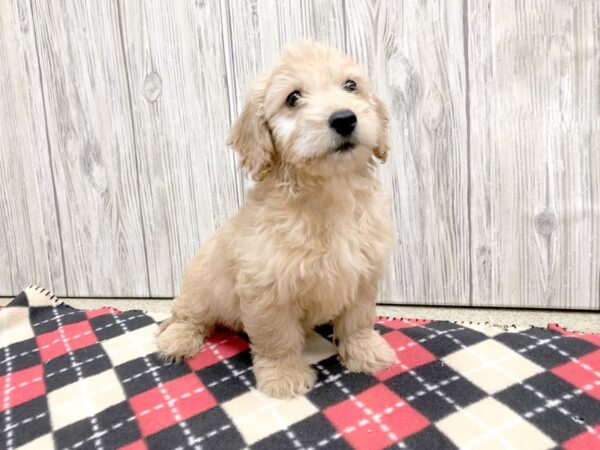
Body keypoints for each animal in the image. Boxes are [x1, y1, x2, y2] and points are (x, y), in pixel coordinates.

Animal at [158, 41, 398, 398]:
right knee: (189, 316)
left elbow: (358, 321)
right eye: (293, 98)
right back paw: (176, 340)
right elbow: (277, 339)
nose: (344, 118)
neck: (329, 193)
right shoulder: (267, 289)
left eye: (350, 86)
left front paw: (366, 352)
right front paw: (284, 376)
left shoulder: (363, 274)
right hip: (199, 285)